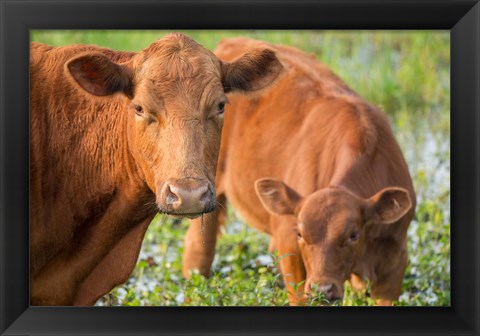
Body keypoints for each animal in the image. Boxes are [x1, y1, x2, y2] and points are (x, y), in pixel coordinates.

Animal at [182, 38, 414, 306]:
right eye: (301, 234)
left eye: (353, 235)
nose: (323, 288)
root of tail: (231, 43)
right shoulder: (288, 241)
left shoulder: (395, 257)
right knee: (199, 250)